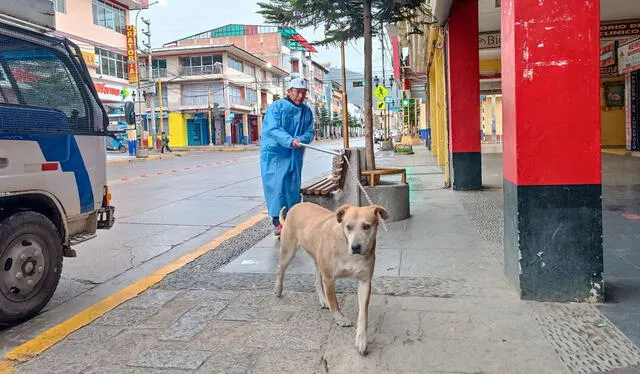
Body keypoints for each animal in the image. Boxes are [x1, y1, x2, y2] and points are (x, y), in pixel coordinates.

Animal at [272, 202, 388, 354]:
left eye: (366, 226)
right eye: (348, 226)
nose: (356, 247)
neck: (346, 248)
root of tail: (297, 204)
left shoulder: (365, 281)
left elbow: (363, 314)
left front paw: (361, 339)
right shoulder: (329, 278)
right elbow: (334, 301)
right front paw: (339, 318)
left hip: (317, 258)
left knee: (316, 281)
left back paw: (323, 299)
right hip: (289, 250)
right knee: (280, 268)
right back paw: (278, 289)